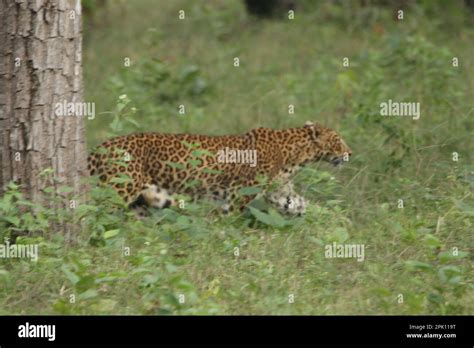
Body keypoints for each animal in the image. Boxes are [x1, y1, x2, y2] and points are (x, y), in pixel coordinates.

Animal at [87, 121, 352, 215]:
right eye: (338, 140)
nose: (350, 153)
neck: (295, 156)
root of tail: (99, 148)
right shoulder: (239, 193)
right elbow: (231, 217)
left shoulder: (279, 191)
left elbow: (301, 203)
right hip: (120, 189)